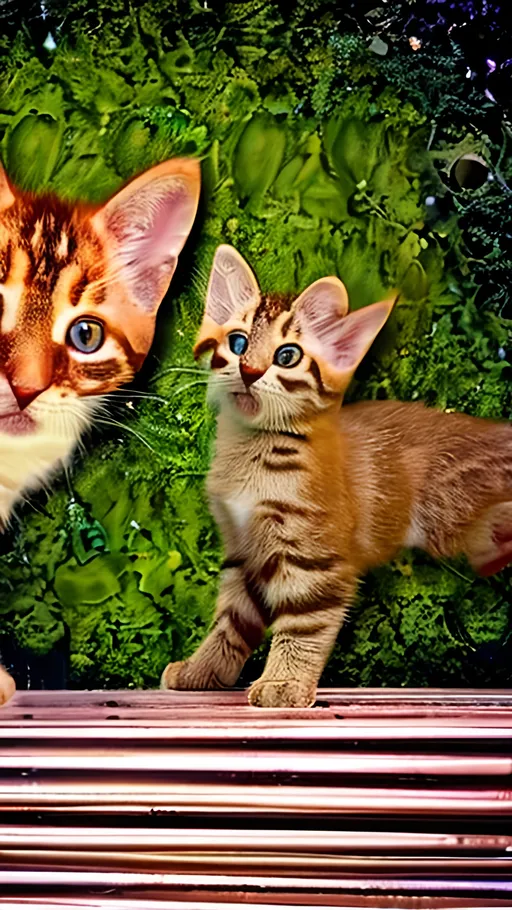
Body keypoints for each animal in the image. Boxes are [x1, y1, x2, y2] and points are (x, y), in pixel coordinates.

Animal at [162, 246, 512, 708]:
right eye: (238, 343)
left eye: (286, 356)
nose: (250, 371)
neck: (253, 459)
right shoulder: (243, 552)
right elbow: (230, 622)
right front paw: (202, 670)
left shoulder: (316, 559)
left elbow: (303, 624)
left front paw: (284, 684)